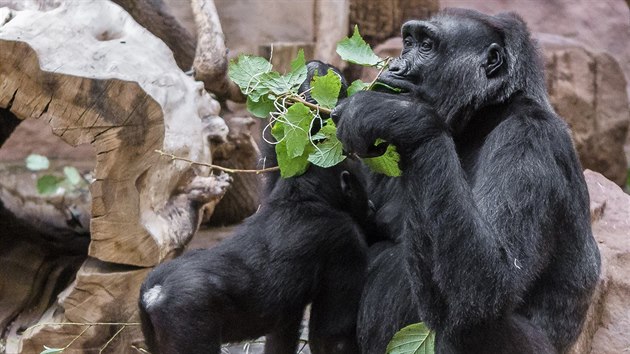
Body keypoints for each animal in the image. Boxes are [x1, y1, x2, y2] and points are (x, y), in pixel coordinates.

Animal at [139, 162, 372, 354]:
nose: (370, 204)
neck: (300, 196)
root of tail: (155, 292)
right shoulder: (346, 237)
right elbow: (333, 338)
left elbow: (283, 336)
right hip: (187, 311)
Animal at [334, 7, 600, 354]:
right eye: (408, 42)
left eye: (427, 46)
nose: (395, 66)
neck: (481, 117)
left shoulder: (528, 140)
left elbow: (494, 281)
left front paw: (400, 115)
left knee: (472, 321)